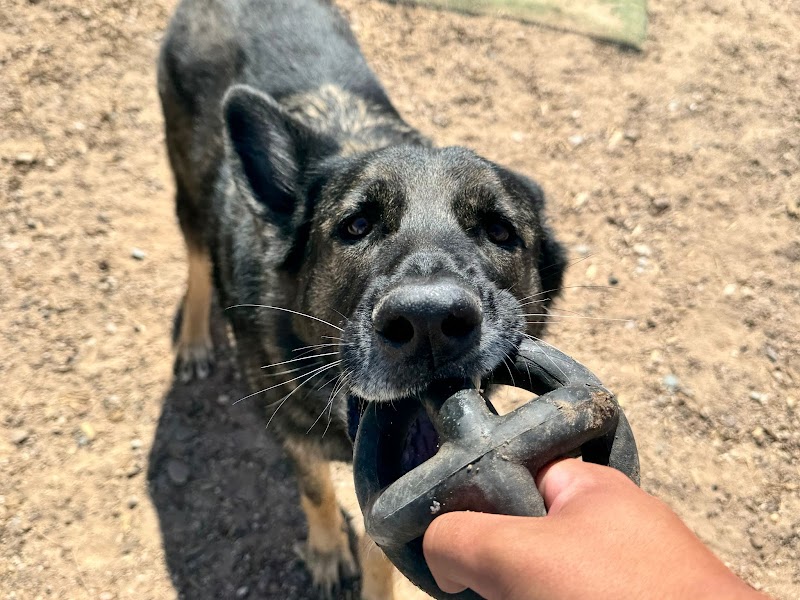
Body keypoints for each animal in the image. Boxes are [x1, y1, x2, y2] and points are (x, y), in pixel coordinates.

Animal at [159, 0, 566, 597]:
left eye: (499, 230)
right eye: (355, 226)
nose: (429, 323)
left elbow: (382, 542)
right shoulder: (287, 432)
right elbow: (315, 491)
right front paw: (329, 551)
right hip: (186, 188)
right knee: (195, 258)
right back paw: (192, 339)